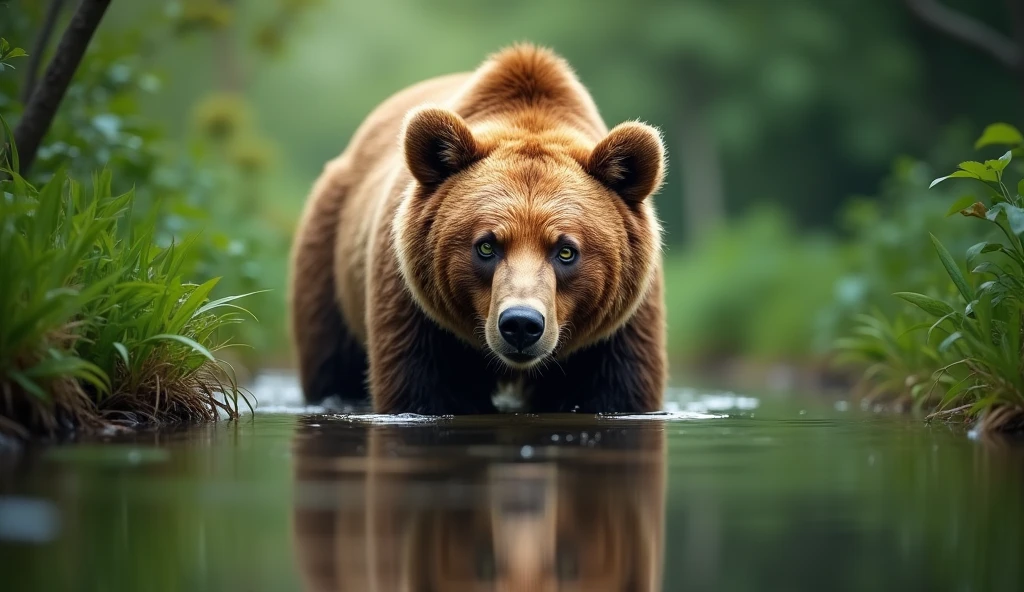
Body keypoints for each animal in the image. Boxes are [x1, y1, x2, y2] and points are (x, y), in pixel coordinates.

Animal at [290, 43, 671, 411]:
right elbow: (424, 392)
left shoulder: (616, 335)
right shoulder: (417, 316)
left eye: (566, 251)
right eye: (487, 245)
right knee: (332, 360)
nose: (521, 324)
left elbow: (612, 393)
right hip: (329, 264)